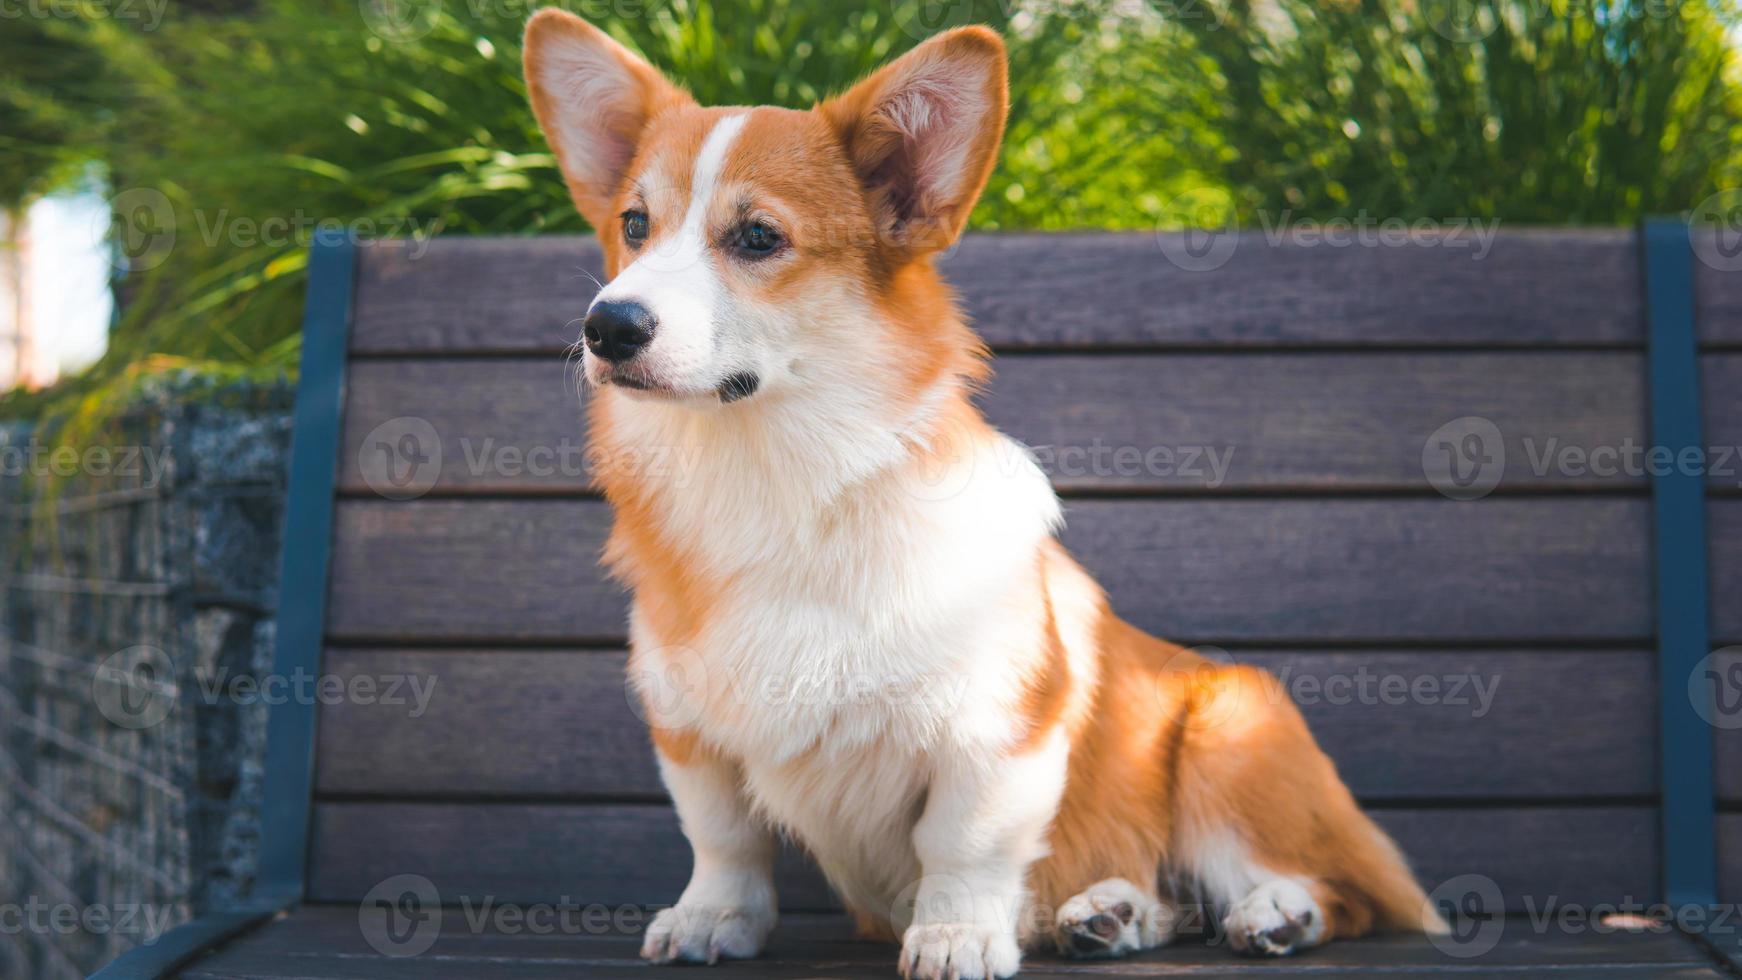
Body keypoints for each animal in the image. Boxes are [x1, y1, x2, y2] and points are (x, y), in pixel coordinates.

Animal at [522, 11, 1449, 974]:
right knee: (1170, 897)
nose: (607, 326)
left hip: (1232, 741)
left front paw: (956, 935)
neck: (768, 476)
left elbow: (961, 844)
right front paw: (711, 919)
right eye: (634, 224)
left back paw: (1276, 913)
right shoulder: (689, 728)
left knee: (1337, 889)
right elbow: (722, 838)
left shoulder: (997, 731)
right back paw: (1112, 912)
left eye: (757, 238)